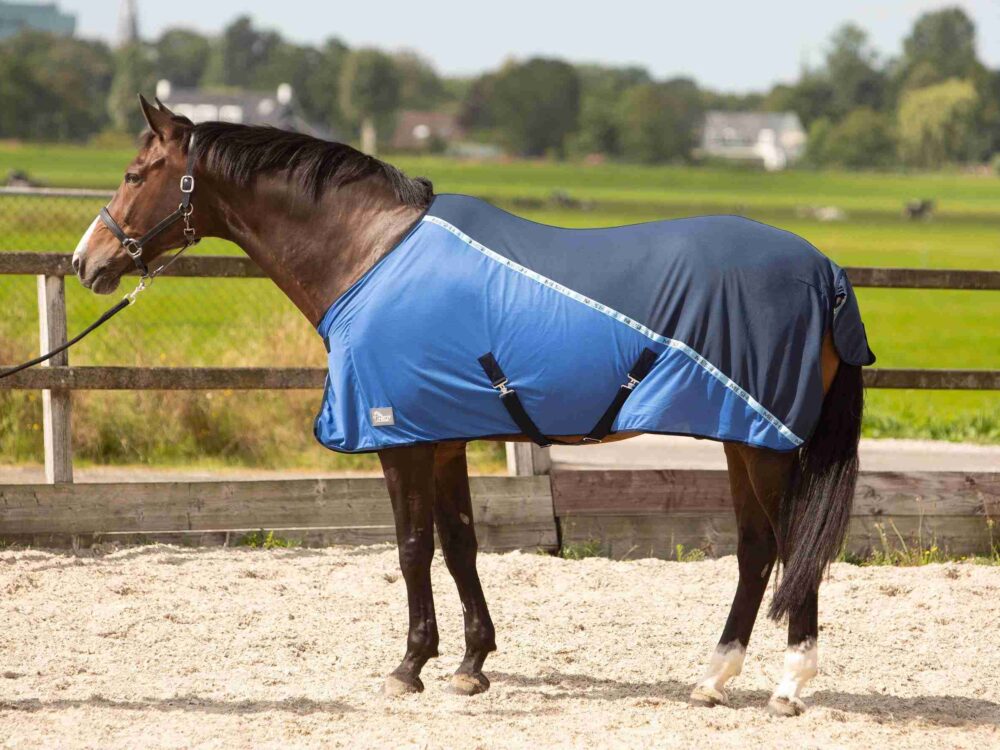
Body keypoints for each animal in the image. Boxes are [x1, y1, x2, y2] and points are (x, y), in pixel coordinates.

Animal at [72, 96, 874, 716]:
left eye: (135, 174)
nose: (87, 263)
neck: (372, 255)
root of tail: (826, 272)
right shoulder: (445, 435)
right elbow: (460, 543)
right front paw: (470, 665)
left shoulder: (400, 438)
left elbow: (412, 546)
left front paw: (408, 668)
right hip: (744, 439)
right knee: (757, 550)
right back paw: (714, 679)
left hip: (766, 443)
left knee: (788, 546)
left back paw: (788, 686)